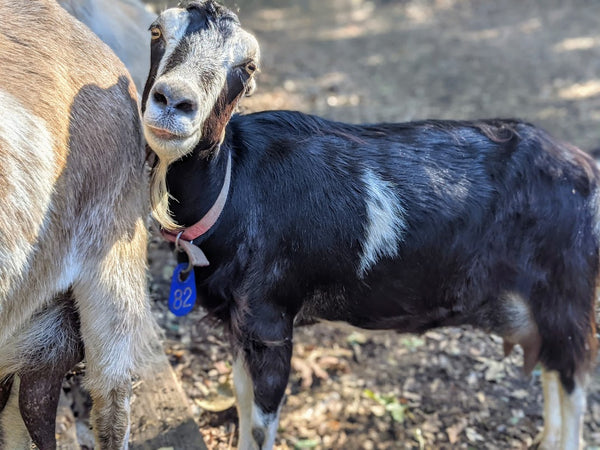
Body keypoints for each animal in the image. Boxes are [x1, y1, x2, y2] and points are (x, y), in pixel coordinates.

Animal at [142, 1, 600, 448]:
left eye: (248, 65)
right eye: (156, 31)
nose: (174, 101)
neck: (234, 186)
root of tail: (585, 166)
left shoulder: (270, 319)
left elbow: (259, 422)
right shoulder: (238, 323)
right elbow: (240, 399)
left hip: (567, 296)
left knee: (573, 388)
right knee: (551, 372)